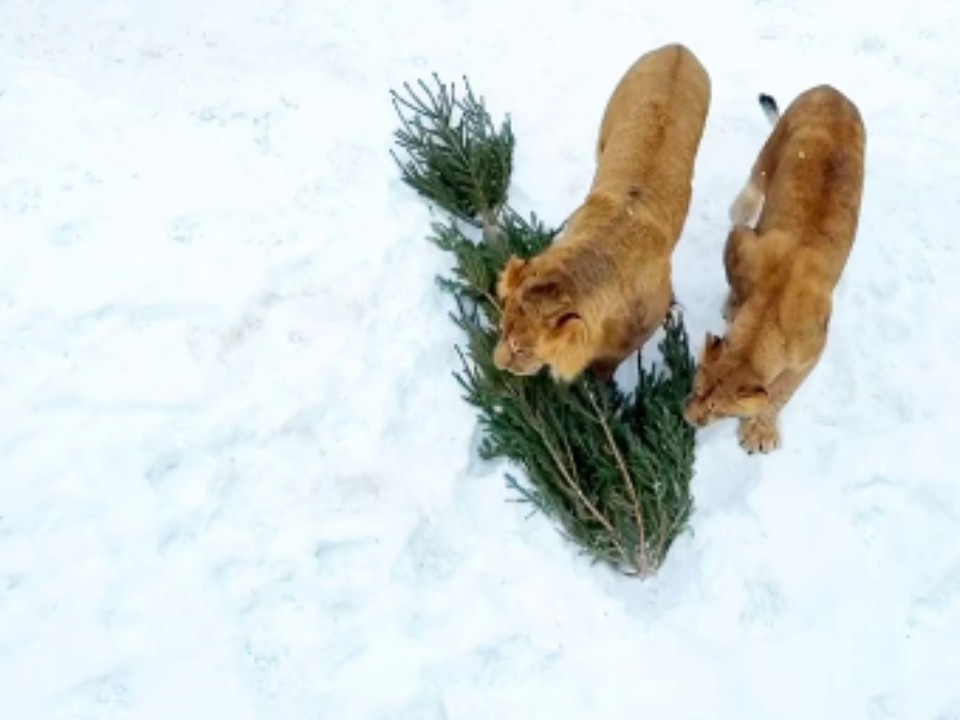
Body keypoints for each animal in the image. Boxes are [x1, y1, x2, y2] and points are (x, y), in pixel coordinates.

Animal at [492, 43, 708, 382]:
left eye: (521, 349)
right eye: (501, 329)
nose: (497, 366)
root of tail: (679, 48)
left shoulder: (643, 325)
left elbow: (608, 364)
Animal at [684, 86, 872, 450]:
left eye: (720, 412)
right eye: (697, 387)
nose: (689, 420)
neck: (767, 313)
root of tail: (833, 91)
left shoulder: (814, 349)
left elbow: (783, 391)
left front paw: (760, 430)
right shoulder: (742, 241)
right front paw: (731, 307)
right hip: (772, 149)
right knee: (750, 190)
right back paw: (742, 205)